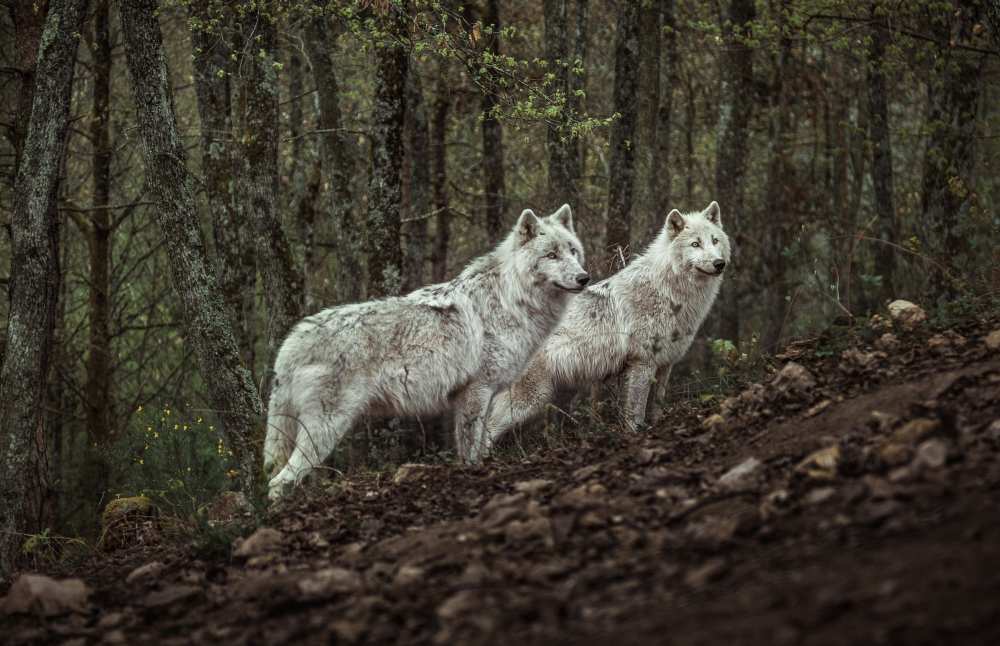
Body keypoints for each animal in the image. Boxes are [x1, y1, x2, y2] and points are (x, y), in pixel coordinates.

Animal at [263, 204, 588, 499]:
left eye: (572, 251)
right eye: (551, 255)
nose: (584, 277)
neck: (511, 299)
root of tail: (290, 343)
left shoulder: (481, 395)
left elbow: (479, 443)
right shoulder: (476, 391)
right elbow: (471, 449)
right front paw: (473, 474)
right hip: (327, 428)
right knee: (278, 482)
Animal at [482, 201, 730, 455]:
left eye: (715, 240)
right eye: (695, 244)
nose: (719, 263)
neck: (669, 293)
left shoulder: (665, 365)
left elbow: (657, 406)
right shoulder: (642, 364)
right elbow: (635, 412)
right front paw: (635, 435)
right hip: (530, 399)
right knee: (489, 428)